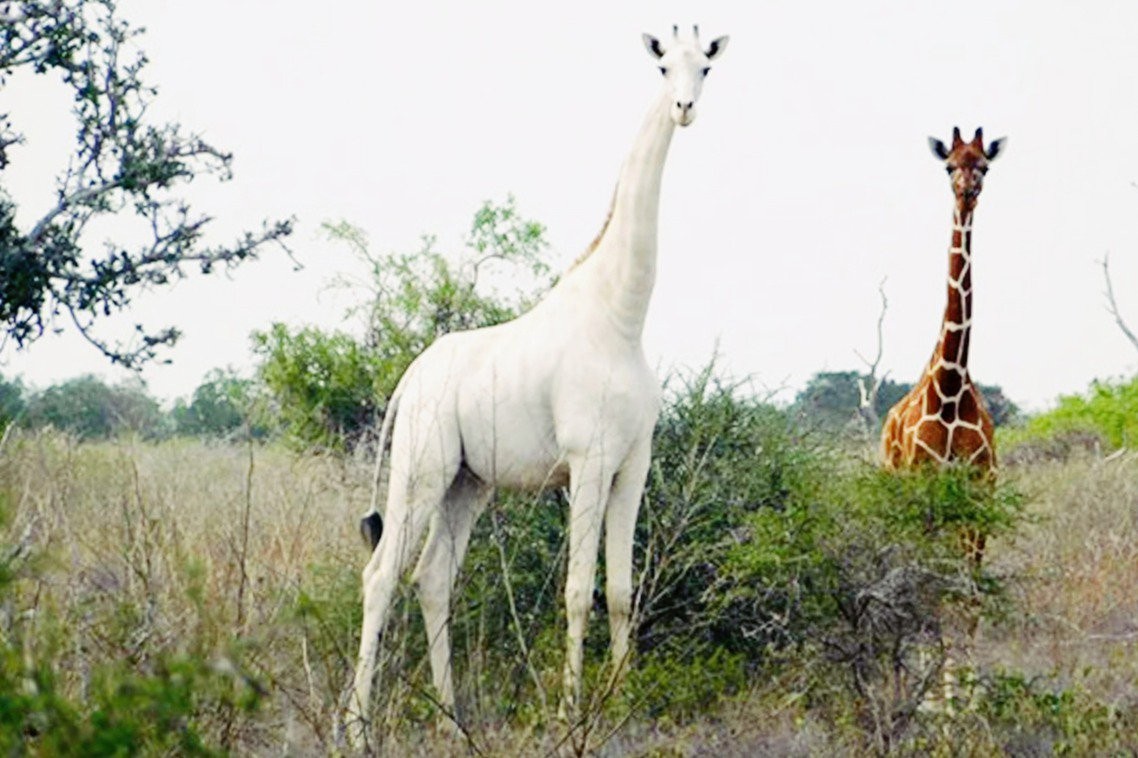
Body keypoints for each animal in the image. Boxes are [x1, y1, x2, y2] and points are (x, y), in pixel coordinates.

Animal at [343, 25, 728, 737]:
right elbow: (577, 591)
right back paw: (357, 727)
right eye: (664, 65)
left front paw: (619, 704)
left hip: (467, 482)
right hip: (421, 467)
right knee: (380, 575)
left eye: (707, 68)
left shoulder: (633, 464)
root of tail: (407, 382)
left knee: (432, 578)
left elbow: (621, 591)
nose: (685, 108)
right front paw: (571, 712)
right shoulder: (587, 461)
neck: (621, 318)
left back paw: (452, 719)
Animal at [878, 126, 1005, 480]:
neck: (950, 386)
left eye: (984, 167)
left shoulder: (984, 476)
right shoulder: (922, 471)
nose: (967, 191)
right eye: (949, 166)